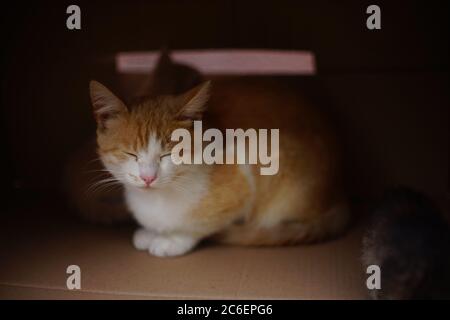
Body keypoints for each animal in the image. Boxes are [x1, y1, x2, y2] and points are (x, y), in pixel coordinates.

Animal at [89, 67, 352, 258]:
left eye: (169, 154)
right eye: (130, 154)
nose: (148, 177)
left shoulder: (242, 178)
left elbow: (203, 221)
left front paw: (173, 239)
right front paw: (151, 231)